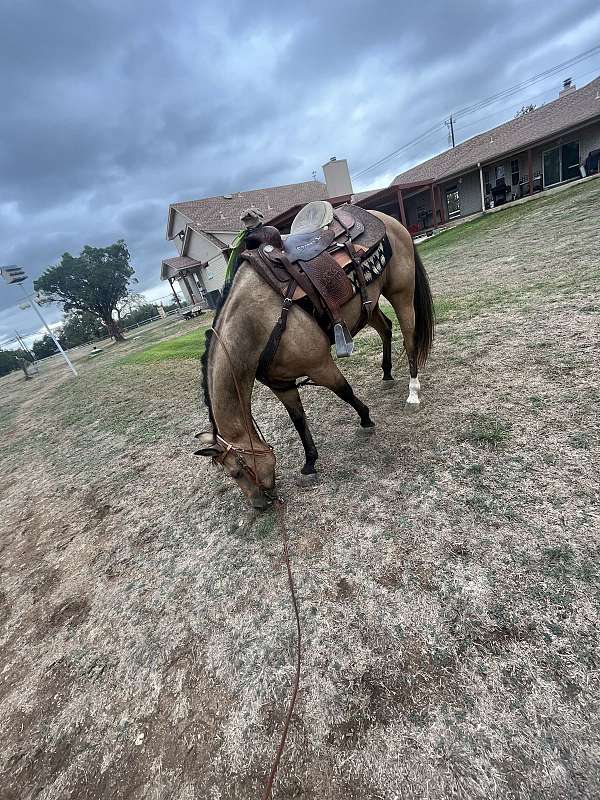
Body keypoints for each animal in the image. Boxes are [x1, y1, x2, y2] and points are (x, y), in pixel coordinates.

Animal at [195, 203, 434, 510]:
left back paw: (413, 392)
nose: (259, 504)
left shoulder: (320, 365)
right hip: (367, 307)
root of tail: (382, 217)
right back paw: (387, 373)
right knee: (386, 328)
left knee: (409, 339)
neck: (258, 321)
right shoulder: (281, 384)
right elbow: (298, 420)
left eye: (237, 471)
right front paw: (310, 463)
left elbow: (344, 390)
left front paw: (366, 420)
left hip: (401, 292)